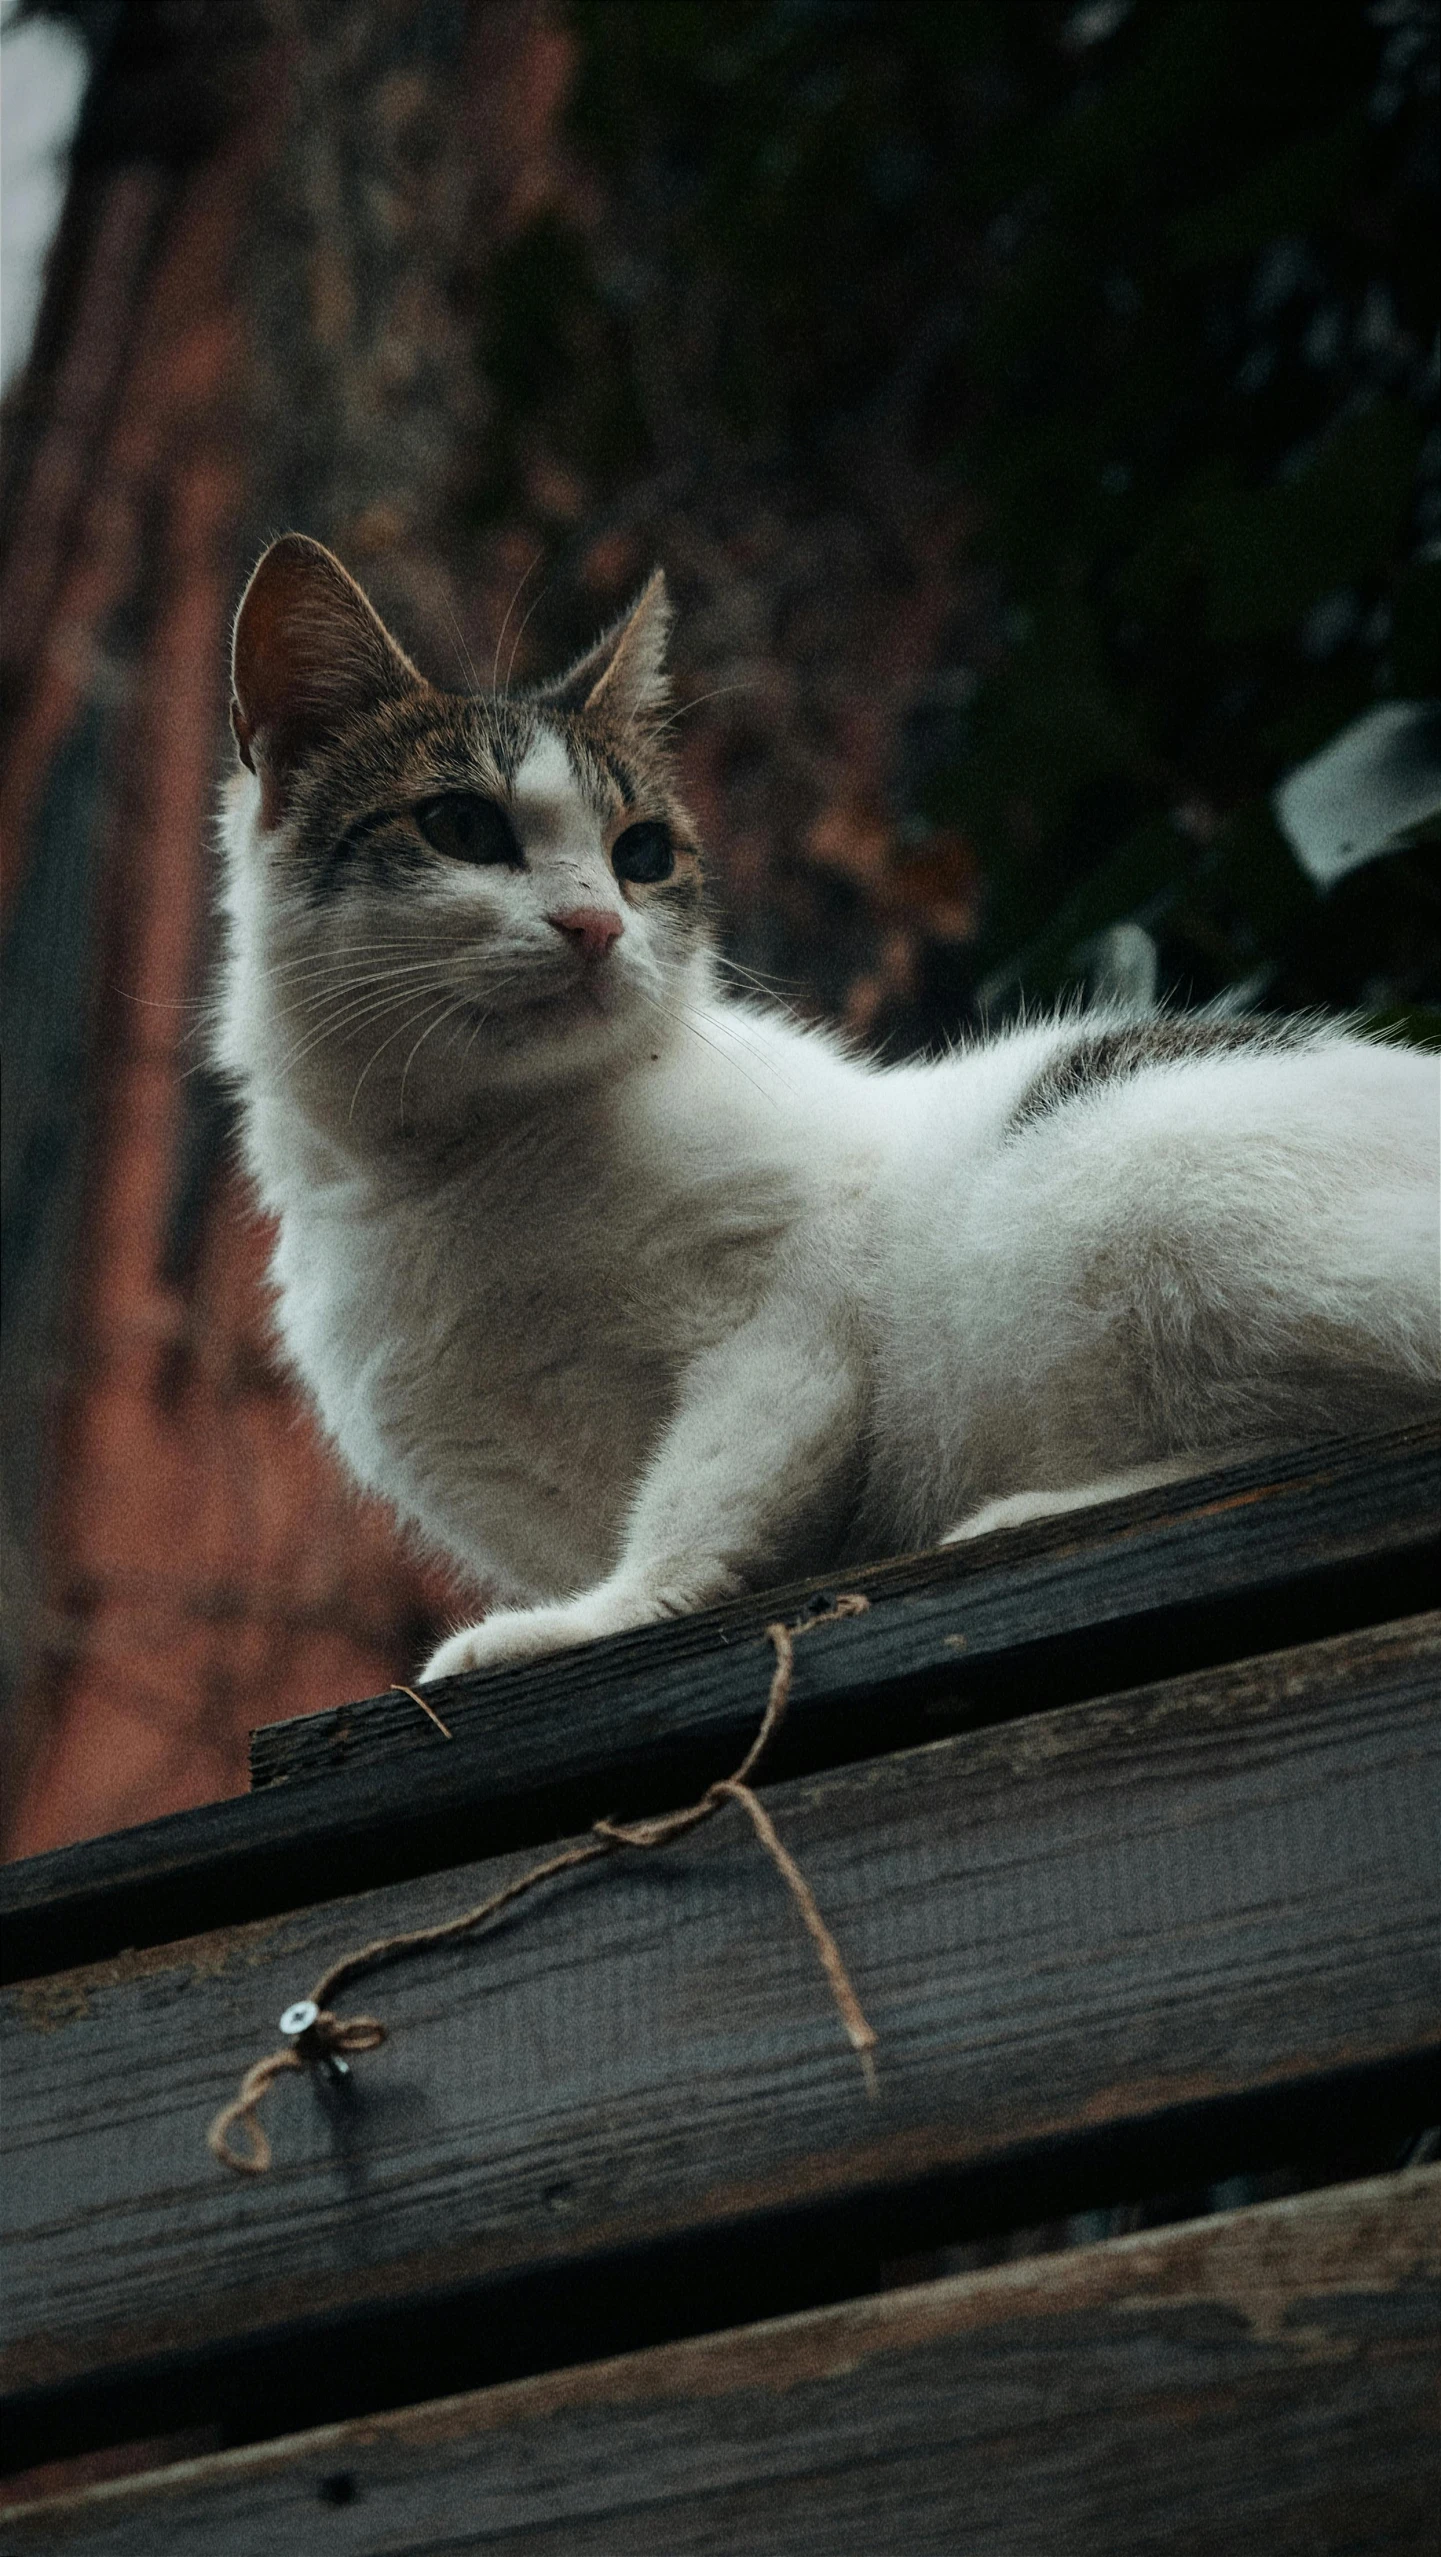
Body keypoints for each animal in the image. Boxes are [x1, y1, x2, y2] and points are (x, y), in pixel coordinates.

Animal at [217, 536, 1441, 1677]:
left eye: (641, 853)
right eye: (464, 828)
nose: (595, 923)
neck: (456, 1170)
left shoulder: (790, 1314)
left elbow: (704, 1504)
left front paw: (593, 1619)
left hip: (1134, 1178)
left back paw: (1036, 1508)